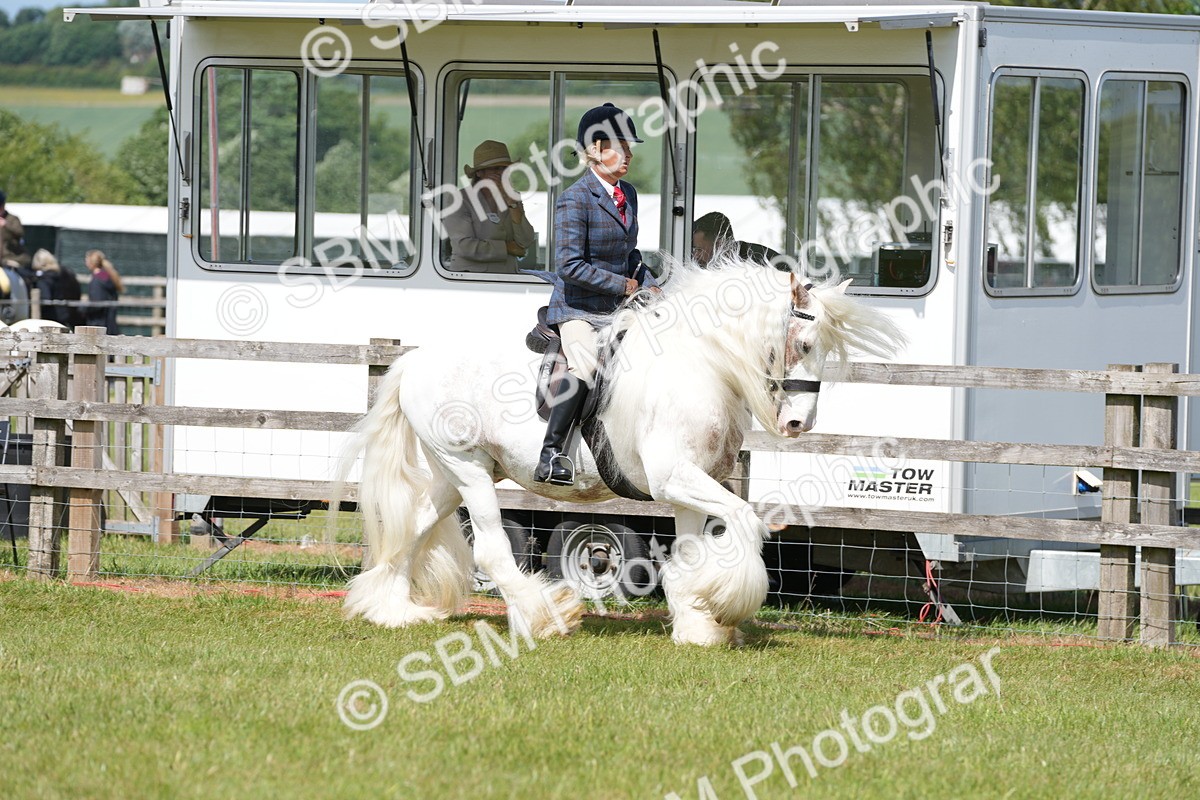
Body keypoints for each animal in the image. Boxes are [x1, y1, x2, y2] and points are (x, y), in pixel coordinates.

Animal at [333, 257, 905, 645]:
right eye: (803, 345)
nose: (797, 425)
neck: (700, 364)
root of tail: (415, 359)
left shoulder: (689, 485)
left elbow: (693, 549)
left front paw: (697, 622)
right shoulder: (677, 477)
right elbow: (745, 521)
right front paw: (724, 604)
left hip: (456, 472)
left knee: (412, 527)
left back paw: (392, 610)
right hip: (468, 468)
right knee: (491, 550)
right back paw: (545, 617)